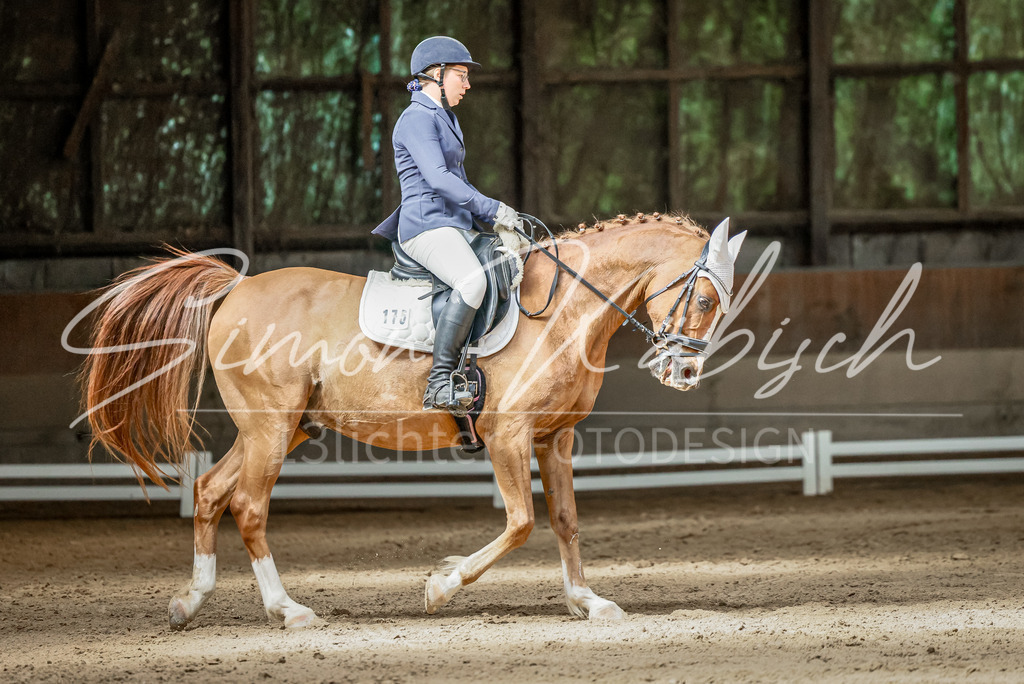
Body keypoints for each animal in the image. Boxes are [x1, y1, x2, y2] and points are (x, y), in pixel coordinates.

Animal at [78, 213, 746, 629]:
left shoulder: (556, 436)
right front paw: (440, 585)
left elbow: (565, 520)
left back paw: (190, 603)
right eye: (704, 297)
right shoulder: (507, 436)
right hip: (269, 428)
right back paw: (288, 611)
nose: (684, 372)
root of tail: (236, 287)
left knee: (211, 492)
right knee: (247, 506)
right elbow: (522, 522)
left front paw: (588, 601)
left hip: (280, 427)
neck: (563, 311)